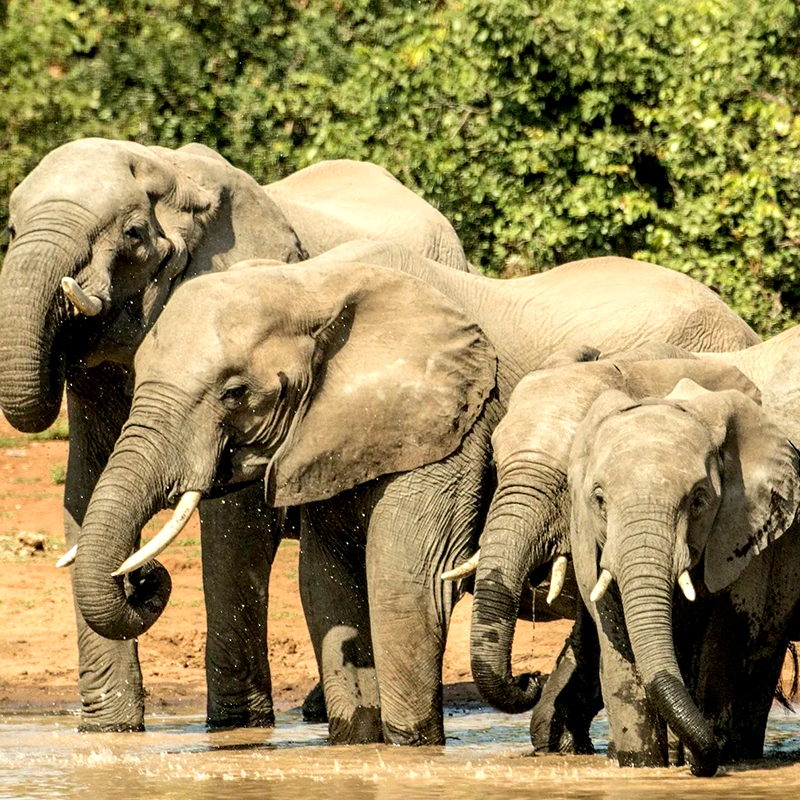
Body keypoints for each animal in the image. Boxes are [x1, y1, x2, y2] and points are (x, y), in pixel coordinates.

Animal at [0, 137, 470, 731]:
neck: (174, 171)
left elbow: (235, 521)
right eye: (11, 229)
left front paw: (235, 728)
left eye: (133, 234)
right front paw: (108, 731)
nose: (141, 577)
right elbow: (83, 492)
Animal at [68, 238, 760, 745]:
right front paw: (356, 743)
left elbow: (402, 580)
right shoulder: (331, 435)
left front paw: (410, 749)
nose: (143, 578)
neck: (312, 285)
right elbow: (326, 585)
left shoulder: (454, 427)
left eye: (236, 393)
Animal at [568, 378, 800, 776]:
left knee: (760, 659)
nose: (701, 765)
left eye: (699, 500)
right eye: (599, 500)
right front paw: (642, 766)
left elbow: (723, 639)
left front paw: (707, 760)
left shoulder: (745, 530)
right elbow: (615, 646)